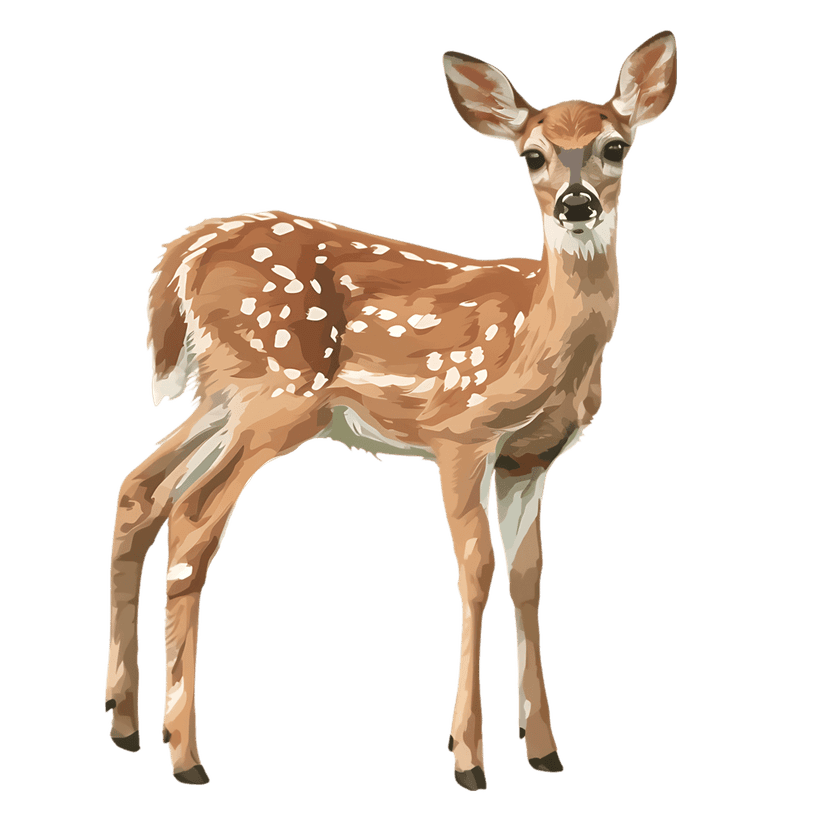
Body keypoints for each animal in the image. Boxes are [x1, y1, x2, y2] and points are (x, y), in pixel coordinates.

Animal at [104, 30, 678, 791]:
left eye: (616, 146)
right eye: (532, 155)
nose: (576, 204)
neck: (540, 339)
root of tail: (186, 252)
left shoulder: (529, 460)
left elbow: (528, 578)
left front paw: (545, 749)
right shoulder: (461, 431)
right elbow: (476, 571)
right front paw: (468, 758)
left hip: (222, 394)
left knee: (139, 490)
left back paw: (125, 725)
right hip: (275, 392)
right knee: (193, 516)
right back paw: (185, 755)